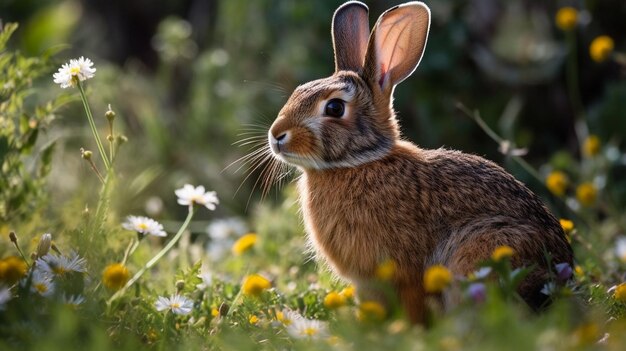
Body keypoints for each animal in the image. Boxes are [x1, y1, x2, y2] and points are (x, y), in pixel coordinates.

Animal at [264, 0, 572, 324]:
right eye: (298, 90)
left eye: (334, 108)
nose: (276, 135)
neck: (359, 162)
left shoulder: (403, 271)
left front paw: (403, 328)